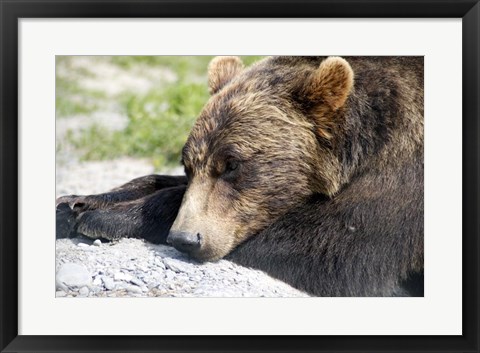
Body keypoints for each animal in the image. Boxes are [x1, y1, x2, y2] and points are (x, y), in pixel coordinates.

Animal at [57, 56, 424, 296]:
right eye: (187, 164)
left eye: (232, 164)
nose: (186, 238)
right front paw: (74, 204)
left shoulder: (401, 174)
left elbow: (328, 246)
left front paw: (106, 217)